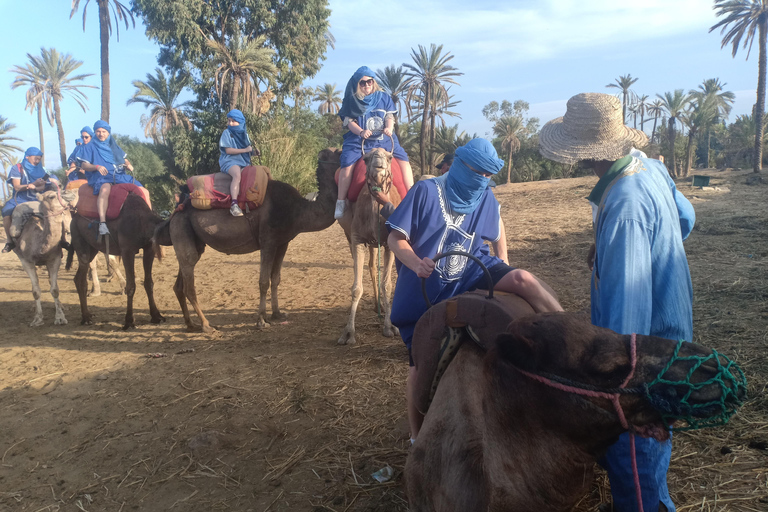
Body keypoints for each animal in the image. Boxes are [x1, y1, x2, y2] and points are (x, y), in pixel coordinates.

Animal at [8, 189, 78, 328]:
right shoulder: (26, 261)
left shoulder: (54, 259)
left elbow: (55, 289)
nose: (70, 192)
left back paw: (61, 306)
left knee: (51, 282)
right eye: (51, 196)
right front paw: (37, 319)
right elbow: (35, 291)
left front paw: (60, 318)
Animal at [68, 191, 166, 328]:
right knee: (81, 277)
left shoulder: (149, 248)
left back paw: (87, 315)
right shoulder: (127, 250)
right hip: (80, 242)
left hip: (92, 248)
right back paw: (86, 318)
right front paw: (129, 321)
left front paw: (157, 316)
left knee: (78, 278)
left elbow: (149, 283)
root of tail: (73, 216)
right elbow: (131, 286)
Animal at [153, 149, 340, 332]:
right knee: (189, 282)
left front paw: (278, 314)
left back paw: (191, 324)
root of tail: (175, 211)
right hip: (181, 228)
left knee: (180, 283)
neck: (298, 210)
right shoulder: (268, 241)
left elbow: (276, 278)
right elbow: (263, 281)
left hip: (191, 237)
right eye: (341, 153)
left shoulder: (282, 243)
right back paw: (206, 326)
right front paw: (261, 321)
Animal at [340, 147, 404, 344]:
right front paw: (349, 332)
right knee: (368, 266)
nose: (378, 162)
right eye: (366, 158)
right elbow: (356, 288)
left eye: (390, 157)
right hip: (353, 237)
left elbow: (388, 285)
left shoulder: (390, 245)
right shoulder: (357, 239)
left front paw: (390, 326)